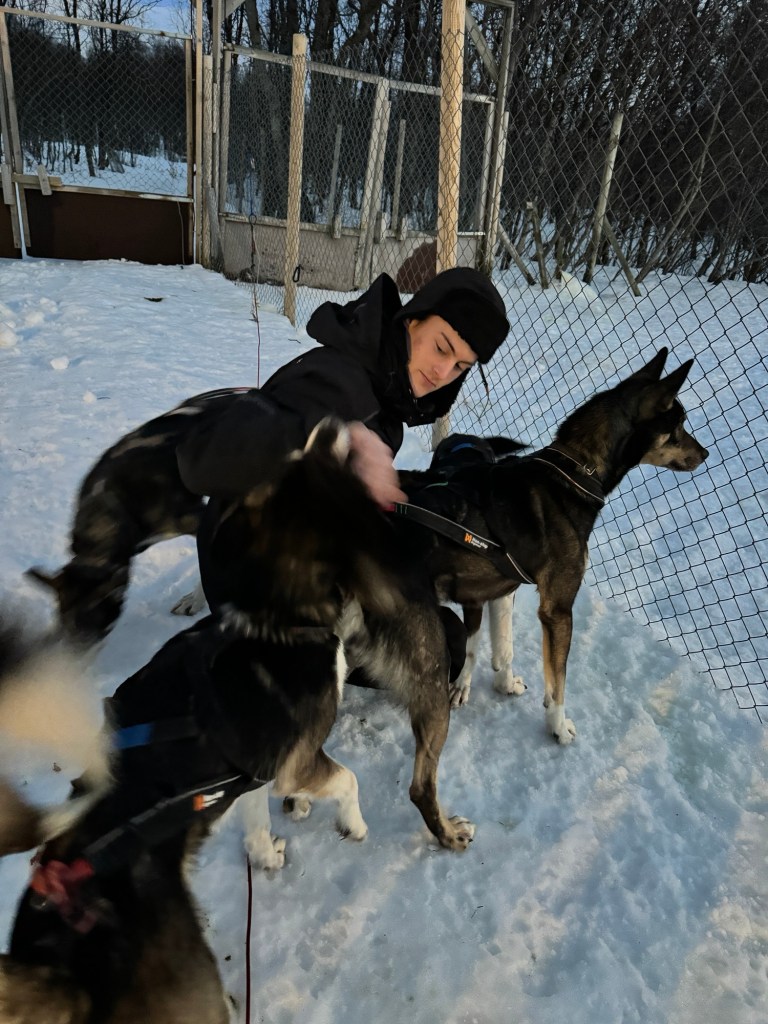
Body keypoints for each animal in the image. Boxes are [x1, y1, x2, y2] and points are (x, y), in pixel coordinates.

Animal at [0, 420, 473, 1024]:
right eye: (315, 462)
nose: (332, 423)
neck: (277, 616)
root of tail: (58, 970)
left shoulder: (256, 770)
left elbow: (254, 819)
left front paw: (266, 853)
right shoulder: (297, 760)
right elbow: (347, 779)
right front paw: (353, 824)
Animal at [396, 347, 709, 742]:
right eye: (678, 426)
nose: (706, 454)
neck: (576, 474)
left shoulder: (503, 588)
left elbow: (500, 646)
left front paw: (503, 682)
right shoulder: (558, 609)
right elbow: (557, 683)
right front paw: (558, 727)